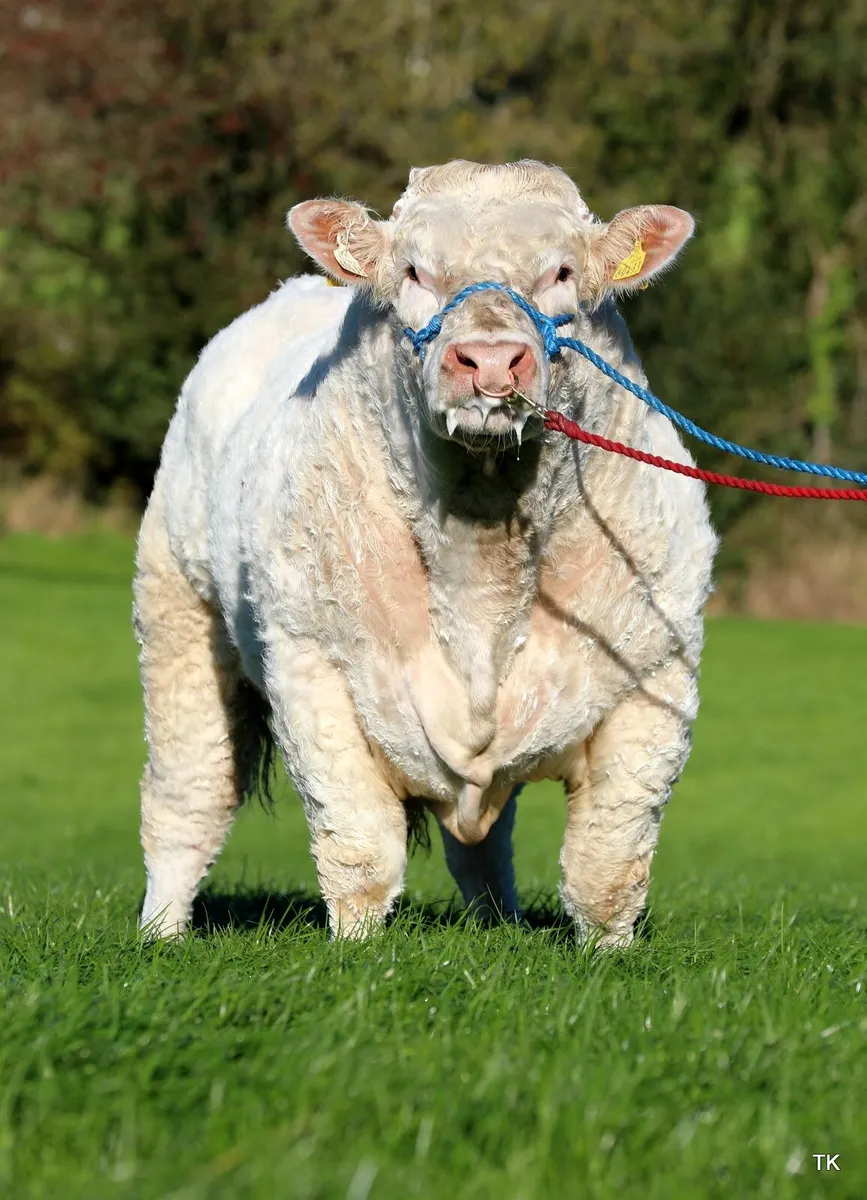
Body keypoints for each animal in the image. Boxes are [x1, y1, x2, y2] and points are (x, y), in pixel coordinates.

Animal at [134, 159, 717, 947]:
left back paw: (498, 926)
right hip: (177, 614)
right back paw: (157, 935)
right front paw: (356, 952)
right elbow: (359, 851)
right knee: (187, 797)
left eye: (562, 272)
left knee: (483, 848)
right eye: (413, 270)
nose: (491, 359)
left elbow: (607, 867)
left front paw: (610, 959)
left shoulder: (654, 677)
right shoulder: (312, 666)